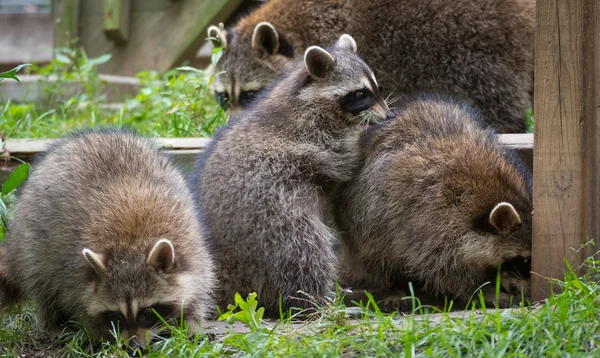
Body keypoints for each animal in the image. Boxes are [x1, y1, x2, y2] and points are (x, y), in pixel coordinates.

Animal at [192, 35, 394, 318]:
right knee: (303, 251)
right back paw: (314, 302)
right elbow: (342, 158)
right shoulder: (310, 137)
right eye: (360, 94)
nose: (388, 115)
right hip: (272, 216)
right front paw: (362, 138)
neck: (304, 96)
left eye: (375, 87)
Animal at [338, 96, 536, 310]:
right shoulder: (432, 223)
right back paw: (396, 287)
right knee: (376, 254)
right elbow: (443, 269)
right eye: (525, 261)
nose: (535, 296)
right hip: (362, 221)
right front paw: (482, 291)